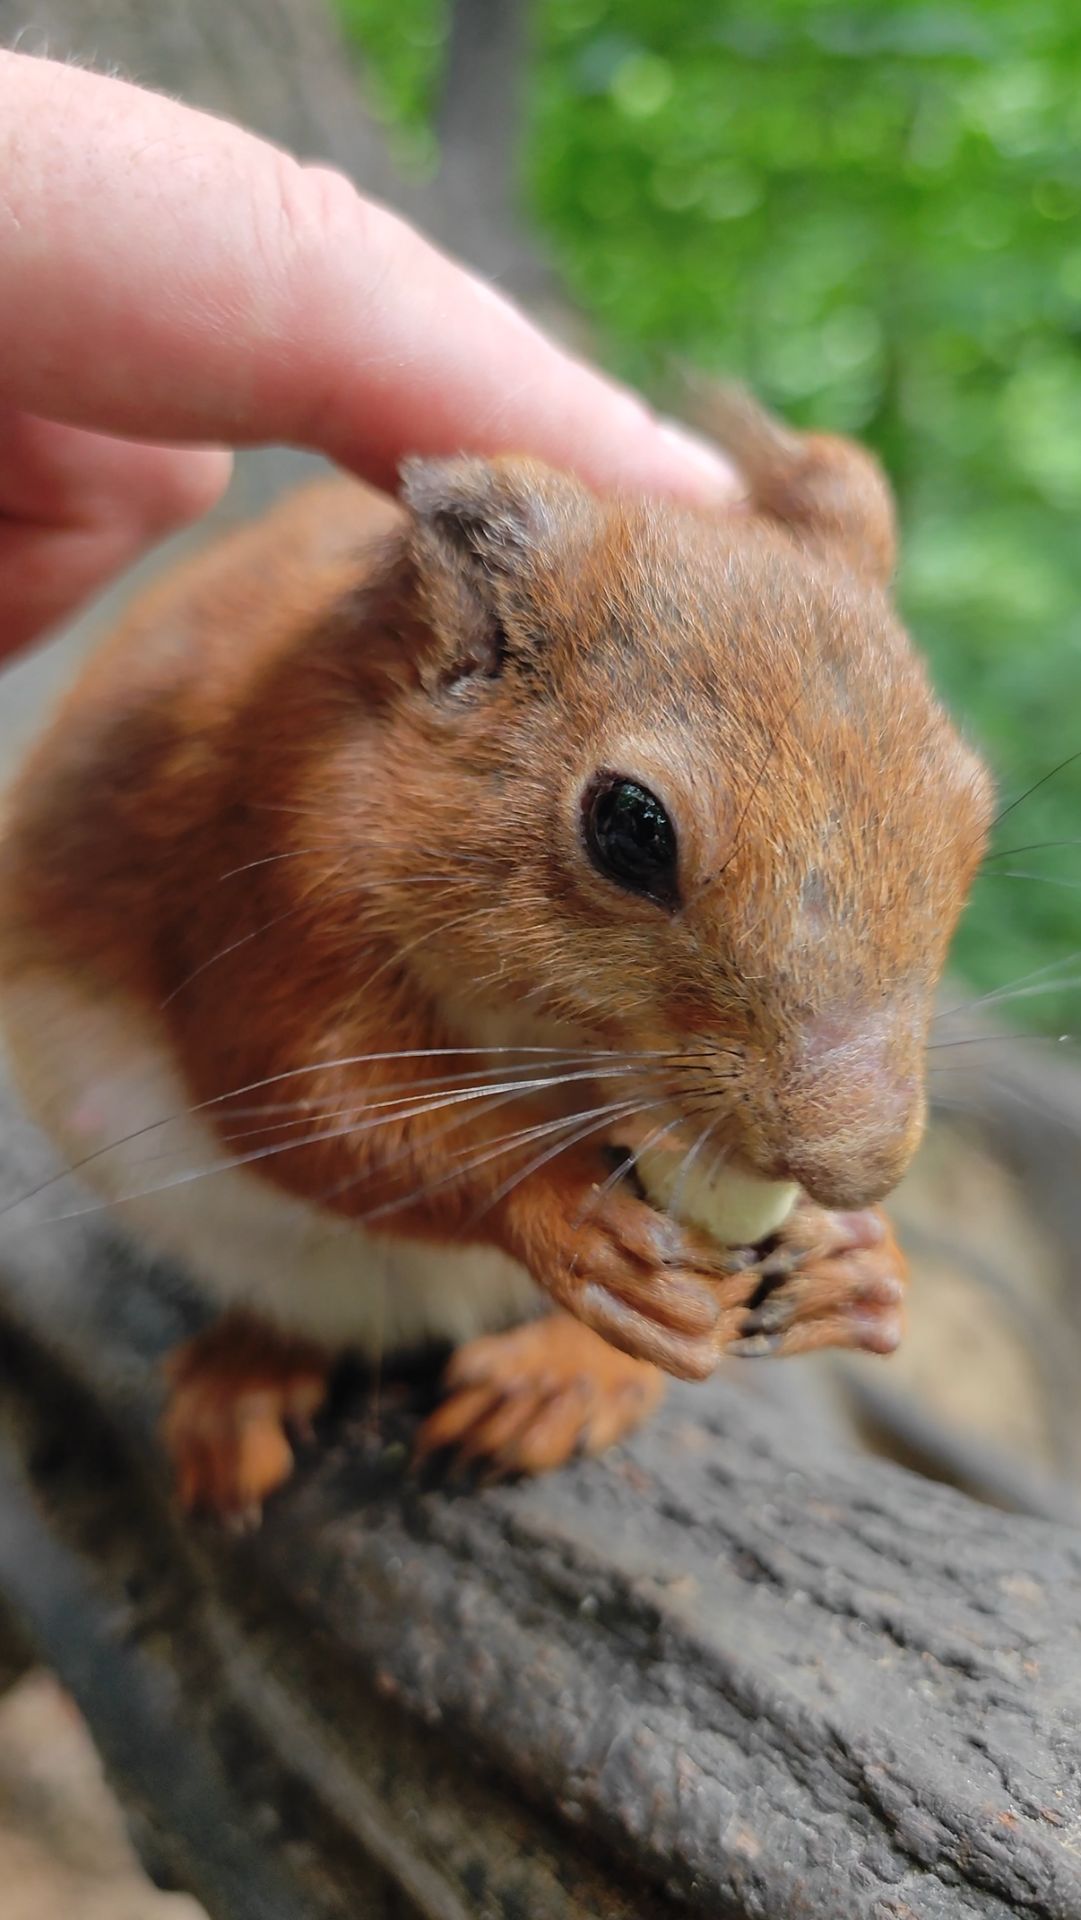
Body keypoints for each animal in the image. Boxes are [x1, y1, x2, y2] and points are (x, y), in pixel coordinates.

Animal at [0, 394, 993, 1516]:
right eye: (631, 827)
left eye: (973, 812)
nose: (856, 1163)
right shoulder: (266, 868)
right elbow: (312, 1101)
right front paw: (560, 1206)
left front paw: (862, 1261)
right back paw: (244, 1385)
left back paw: (563, 1376)